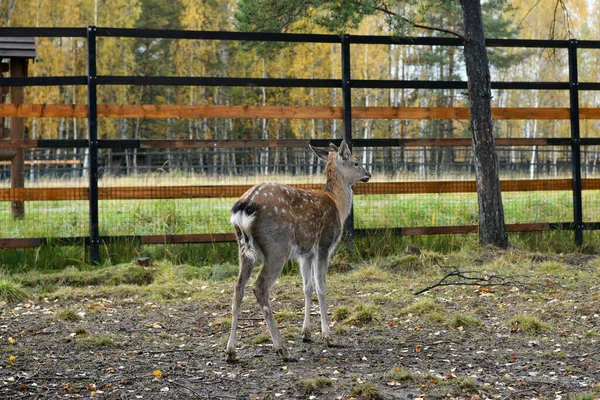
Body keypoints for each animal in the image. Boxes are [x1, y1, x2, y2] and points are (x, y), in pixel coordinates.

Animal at [225, 141, 370, 362]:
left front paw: (306, 333)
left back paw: (231, 351)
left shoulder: (305, 253)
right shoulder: (324, 244)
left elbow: (307, 287)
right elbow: (321, 287)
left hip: (242, 248)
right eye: (356, 162)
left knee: (238, 288)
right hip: (277, 247)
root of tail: (244, 207)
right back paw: (282, 349)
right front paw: (328, 336)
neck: (337, 205)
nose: (368, 174)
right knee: (260, 287)